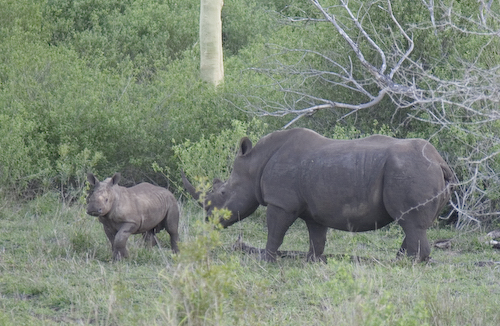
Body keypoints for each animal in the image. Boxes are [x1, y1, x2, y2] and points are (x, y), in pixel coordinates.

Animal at [184, 127, 458, 262]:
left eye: (222, 192)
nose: (208, 220)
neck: (255, 164)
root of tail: (439, 162)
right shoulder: (314, 209)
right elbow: (317, 237)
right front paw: (312, 261)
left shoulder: (281, 203)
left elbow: (275, 233)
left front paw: (266, 260)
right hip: (421, 170)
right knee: (411, 225)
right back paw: (400, 260)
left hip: (411, 170)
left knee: (410, 222)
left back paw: (406, 264)